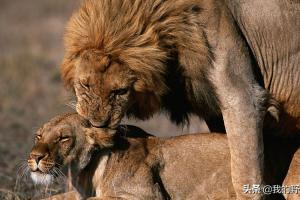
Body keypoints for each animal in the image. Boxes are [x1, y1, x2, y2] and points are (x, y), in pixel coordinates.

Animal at [61, 0, 300, 198]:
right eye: (85, 85)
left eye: (121, 91)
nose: (98, 124)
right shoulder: (214, 112)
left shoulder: (244, 98)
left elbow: (244, 174)